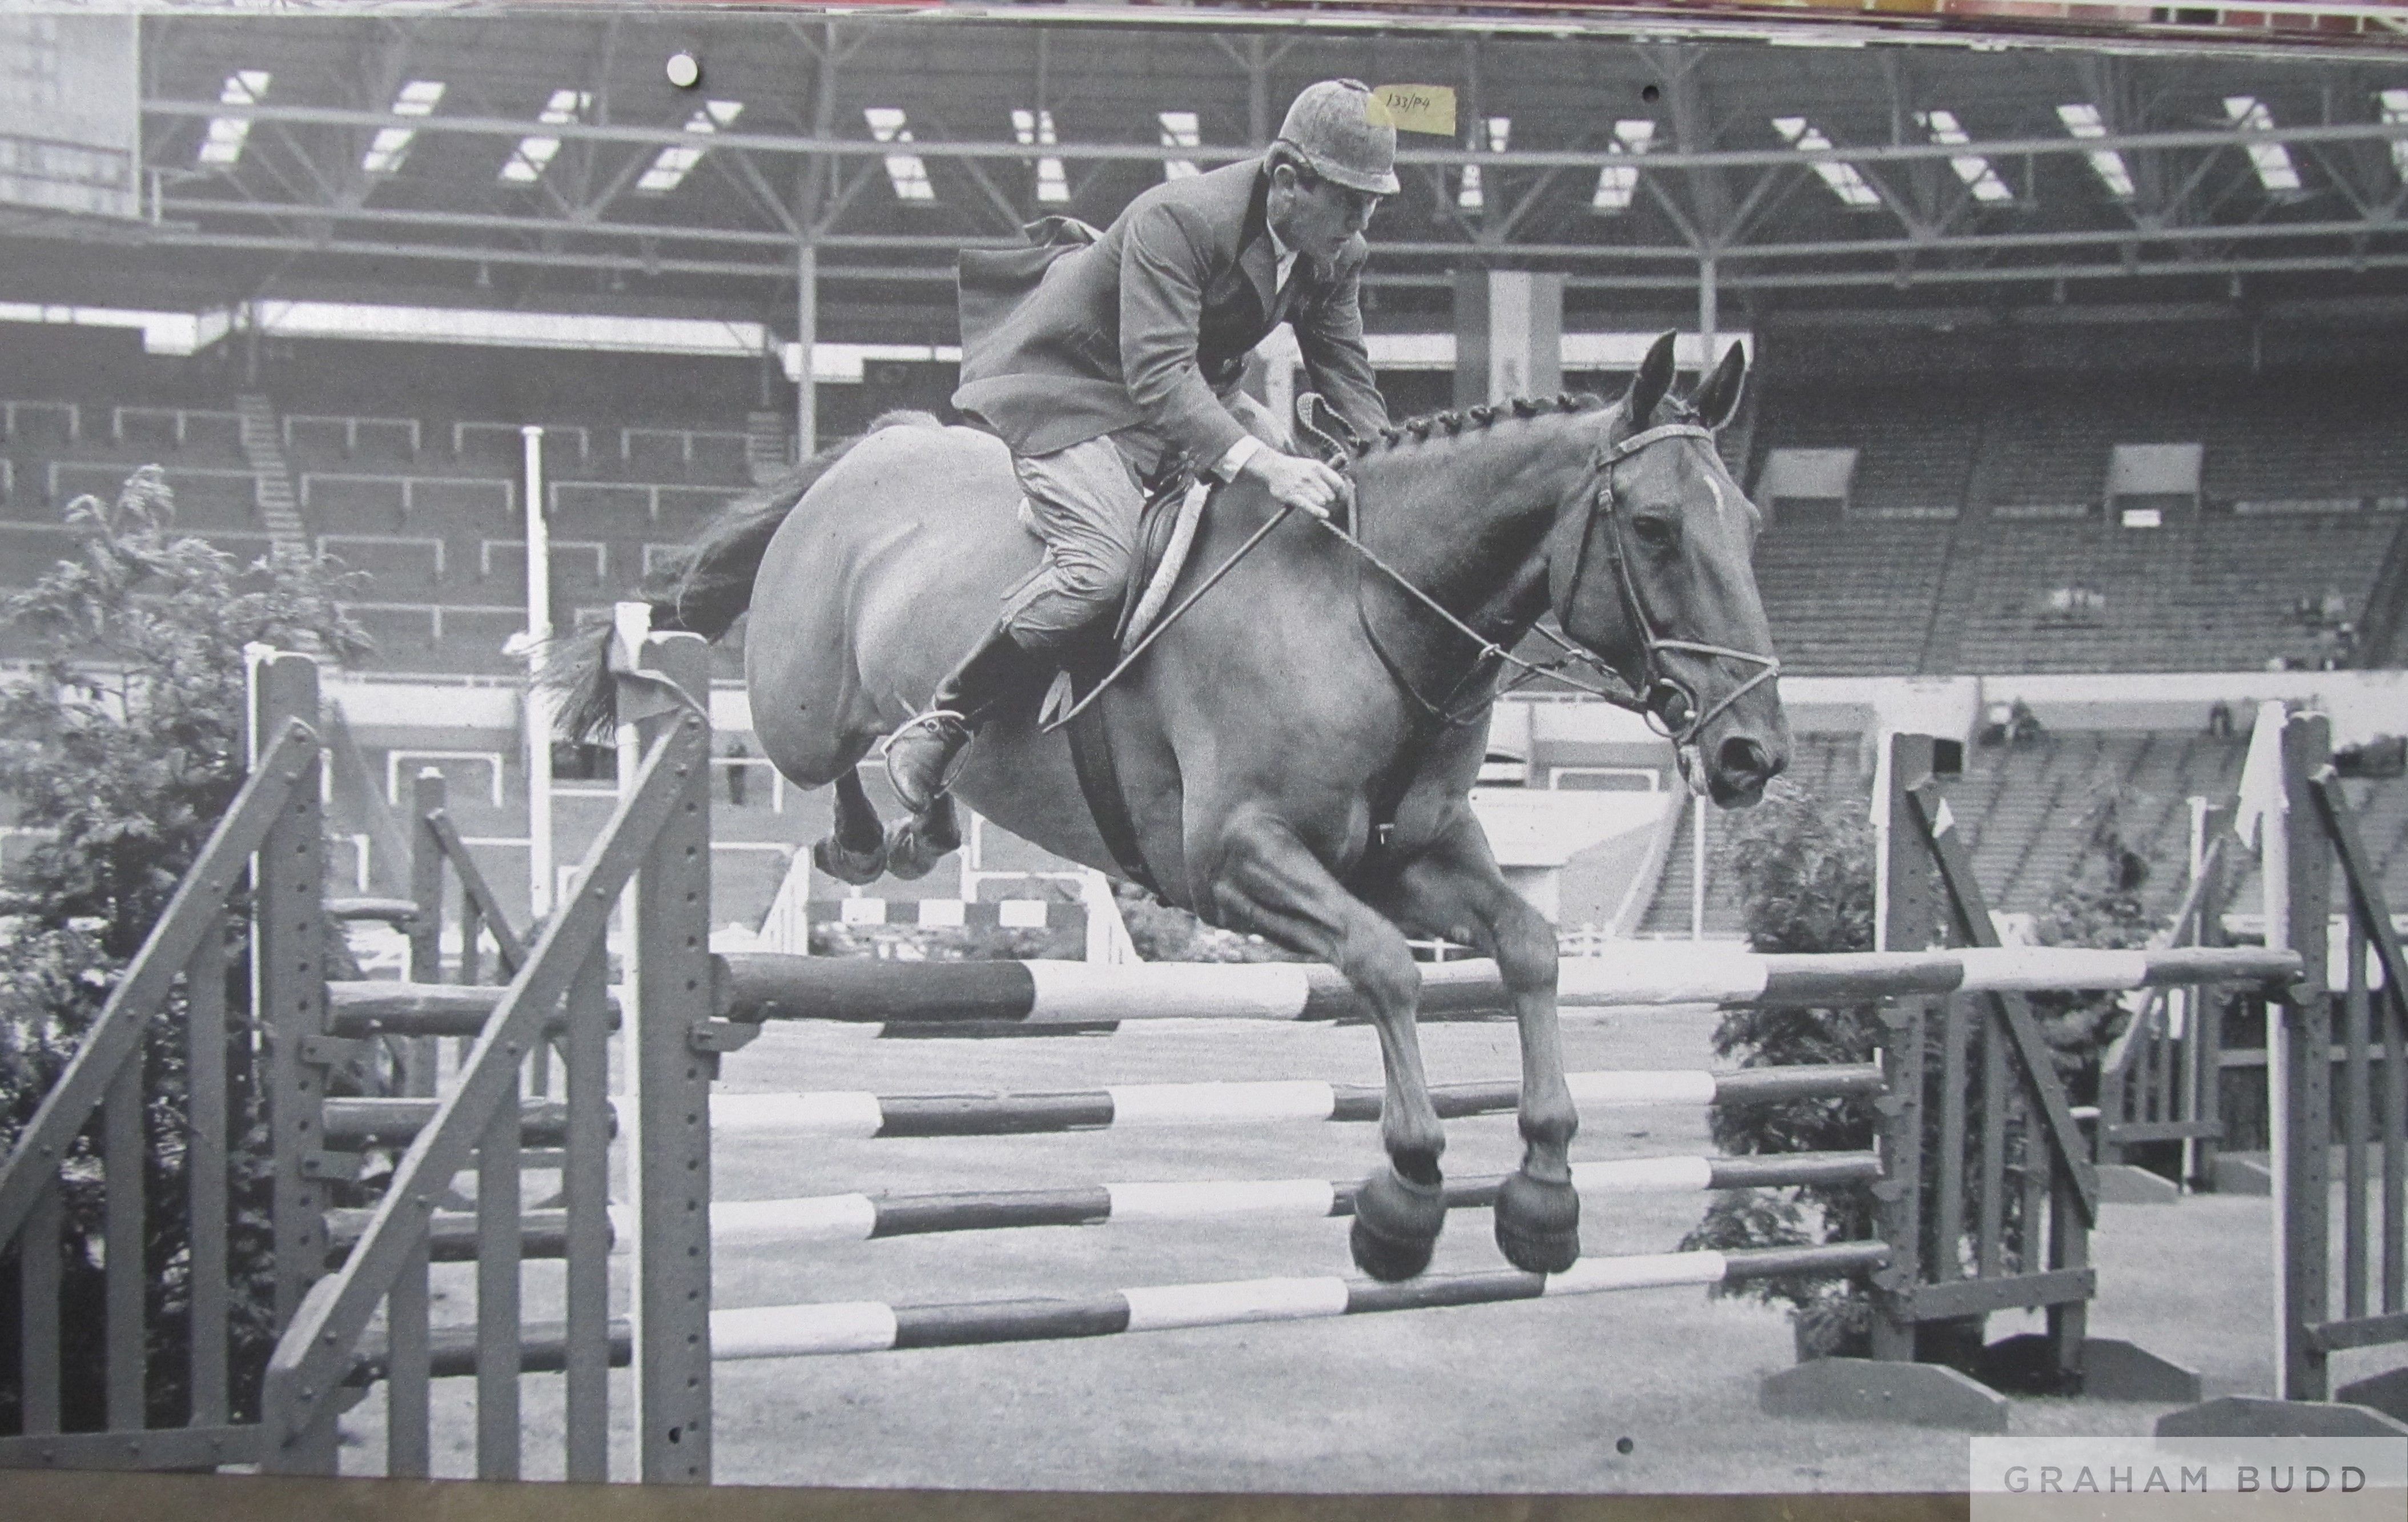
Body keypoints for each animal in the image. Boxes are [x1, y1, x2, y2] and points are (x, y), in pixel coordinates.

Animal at [550, 330, 1788, 1283]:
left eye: (1747, 524)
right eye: (1654, 529)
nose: (1751, 753)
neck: (1366, 609)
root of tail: (872, 451)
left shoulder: (1408, 858)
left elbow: (1527, 947)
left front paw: (1541, 1190)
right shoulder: (1235, 862)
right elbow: (1386, 968)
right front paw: (1404, 1195)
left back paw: (922, 817)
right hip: (796, 701)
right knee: (802, 743)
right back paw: (862, 805)